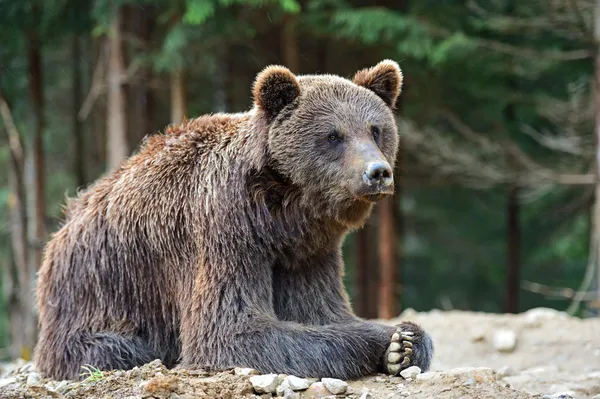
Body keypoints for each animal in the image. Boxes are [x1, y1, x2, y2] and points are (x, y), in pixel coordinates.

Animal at [34, 59, 432, 382]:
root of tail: (63, 228)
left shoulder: (308, 251)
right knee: (113, 348)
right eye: (333, 135)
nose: (378, 172)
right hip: (98, 290)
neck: (282, 211)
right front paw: (388, 339)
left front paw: (408, 342)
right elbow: (231, 331)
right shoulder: (225, 226)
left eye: (375, 129)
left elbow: (322, 309)